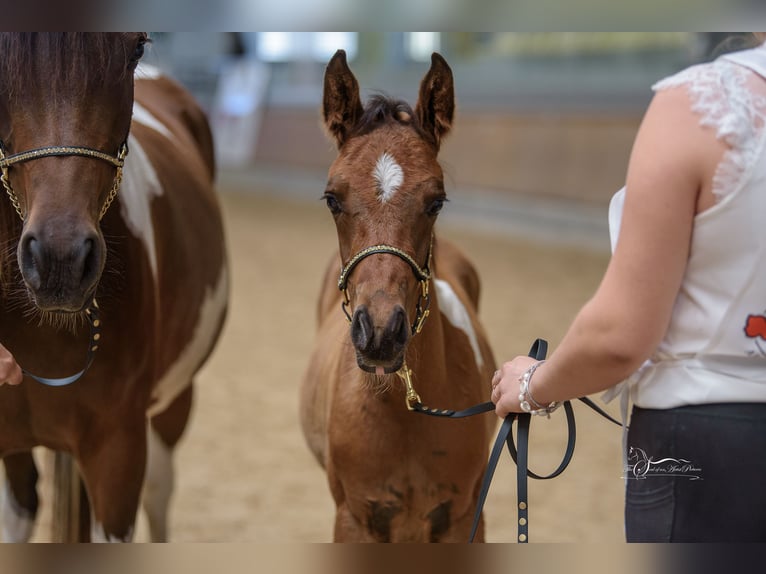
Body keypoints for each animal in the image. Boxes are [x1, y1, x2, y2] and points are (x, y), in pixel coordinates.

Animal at [302, 50, 498, 544]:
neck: (404, 416)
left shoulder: (464, 519)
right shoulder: (354, 520)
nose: (380, 333)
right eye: (332, 199)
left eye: (437, 201)